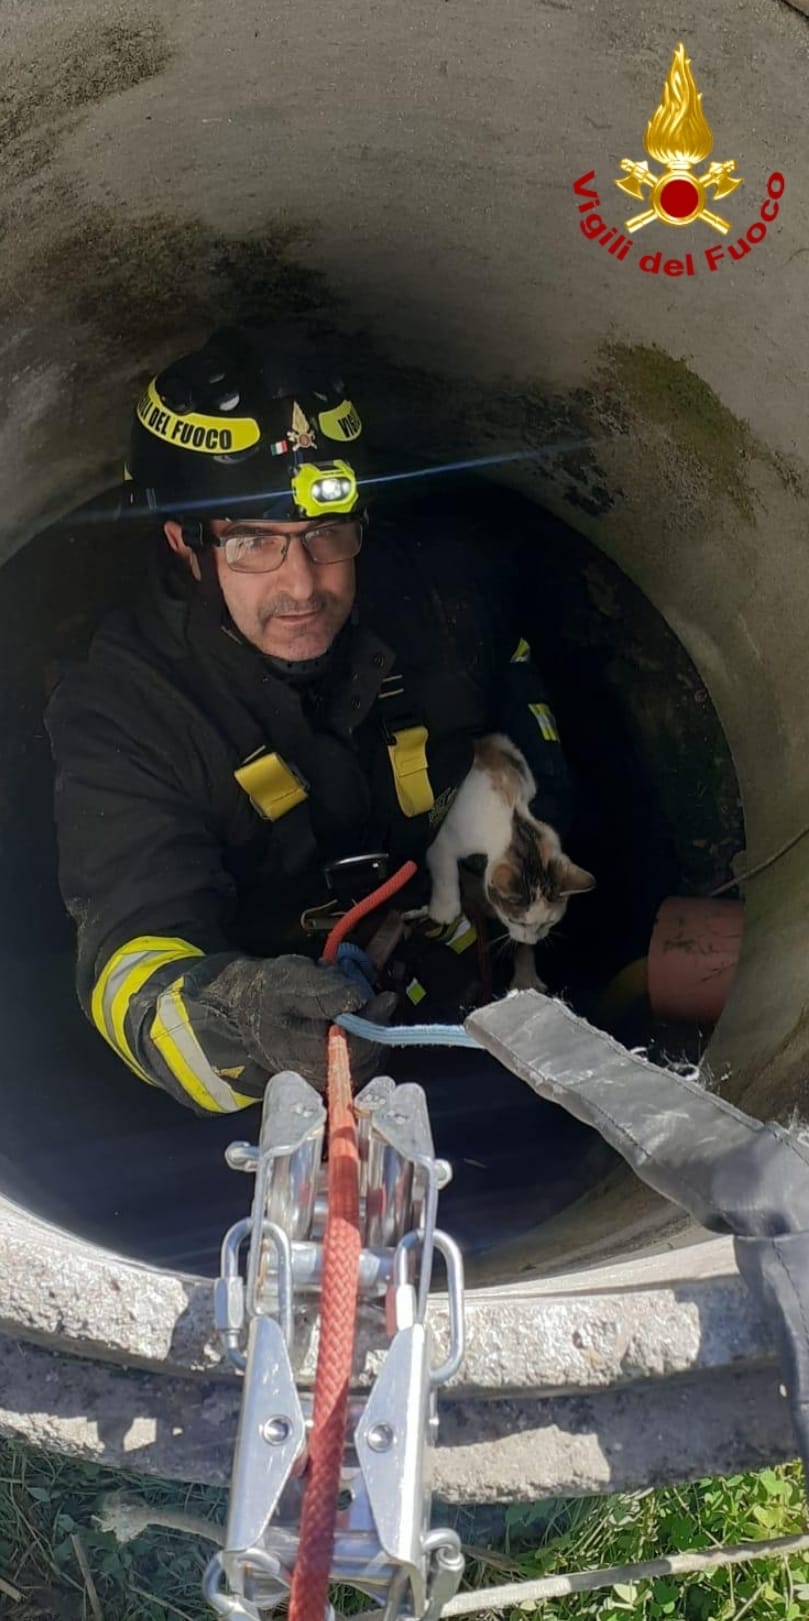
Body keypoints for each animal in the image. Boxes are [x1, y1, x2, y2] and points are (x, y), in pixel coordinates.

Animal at [425, 733, 595, 992]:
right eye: (515, 920)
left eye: (549, 922)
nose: (532, 939)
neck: (512, 820)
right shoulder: (443, 835)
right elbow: (444, 862)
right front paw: (444, 909)